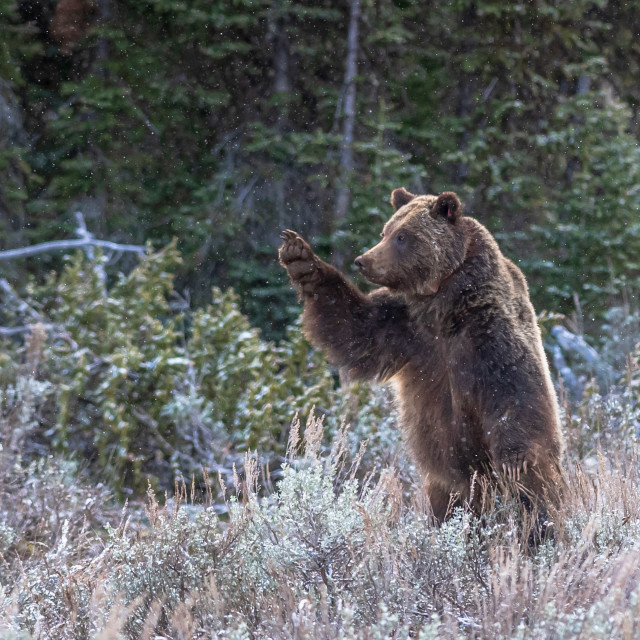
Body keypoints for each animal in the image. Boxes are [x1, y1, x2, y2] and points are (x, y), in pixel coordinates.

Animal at [280, 188, 564, 524]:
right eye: (386, 231)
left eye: (403, 236)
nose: (364, 260)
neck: (440, 305)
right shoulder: (405, 327)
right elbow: (354, 330)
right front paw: (300, 257)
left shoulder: (486, 331)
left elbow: (516, 385)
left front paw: (514, 458)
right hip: (445, 487)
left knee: (536, 501)